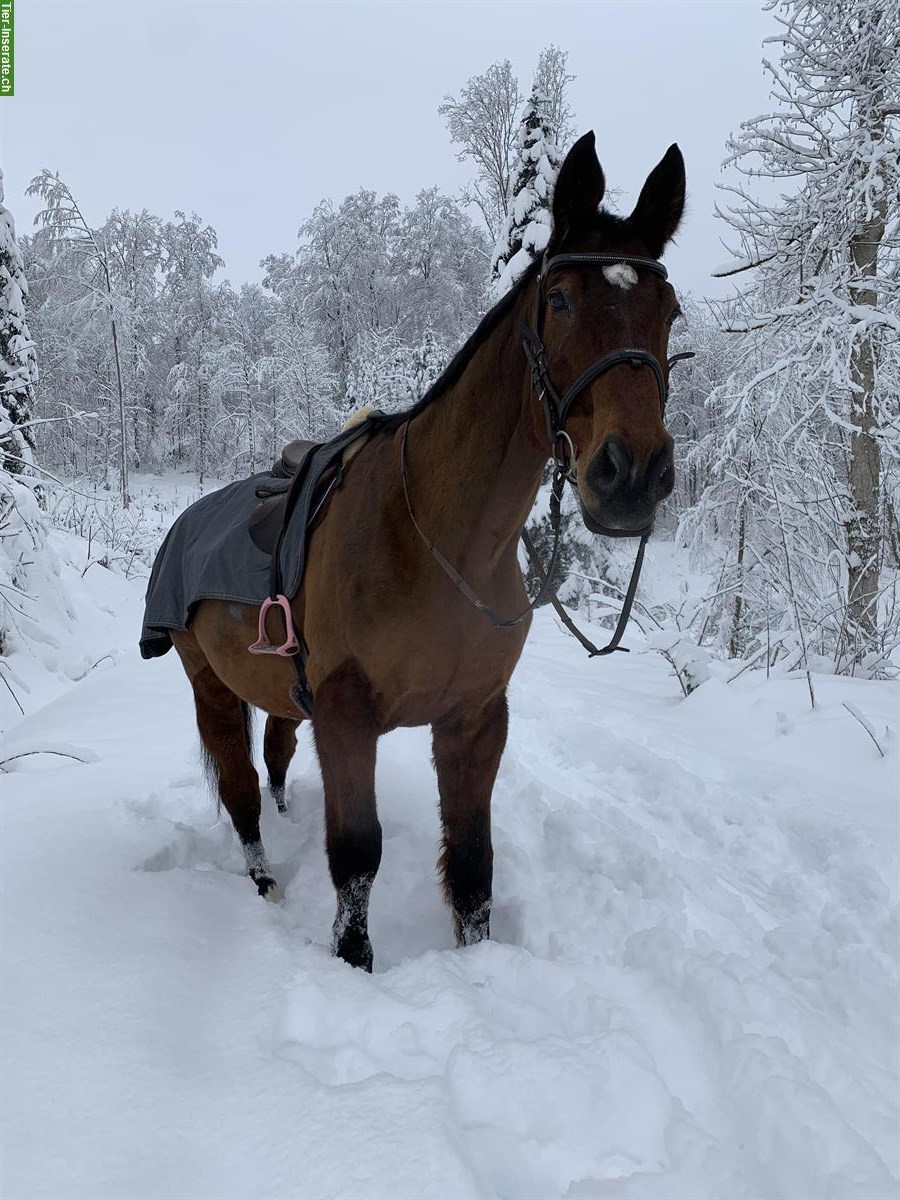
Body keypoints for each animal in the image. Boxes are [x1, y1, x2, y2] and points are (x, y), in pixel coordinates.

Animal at [162, 133, 686, 974]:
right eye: (561, 300)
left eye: (669, 311)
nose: (631, 473)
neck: (438, 543)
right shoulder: (347, 717)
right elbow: (356, 856)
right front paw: (353, 961)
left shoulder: (475, 718)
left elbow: (472, 864)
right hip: (208, 683)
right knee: (240, 788)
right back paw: (265, 877)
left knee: (273, 756)